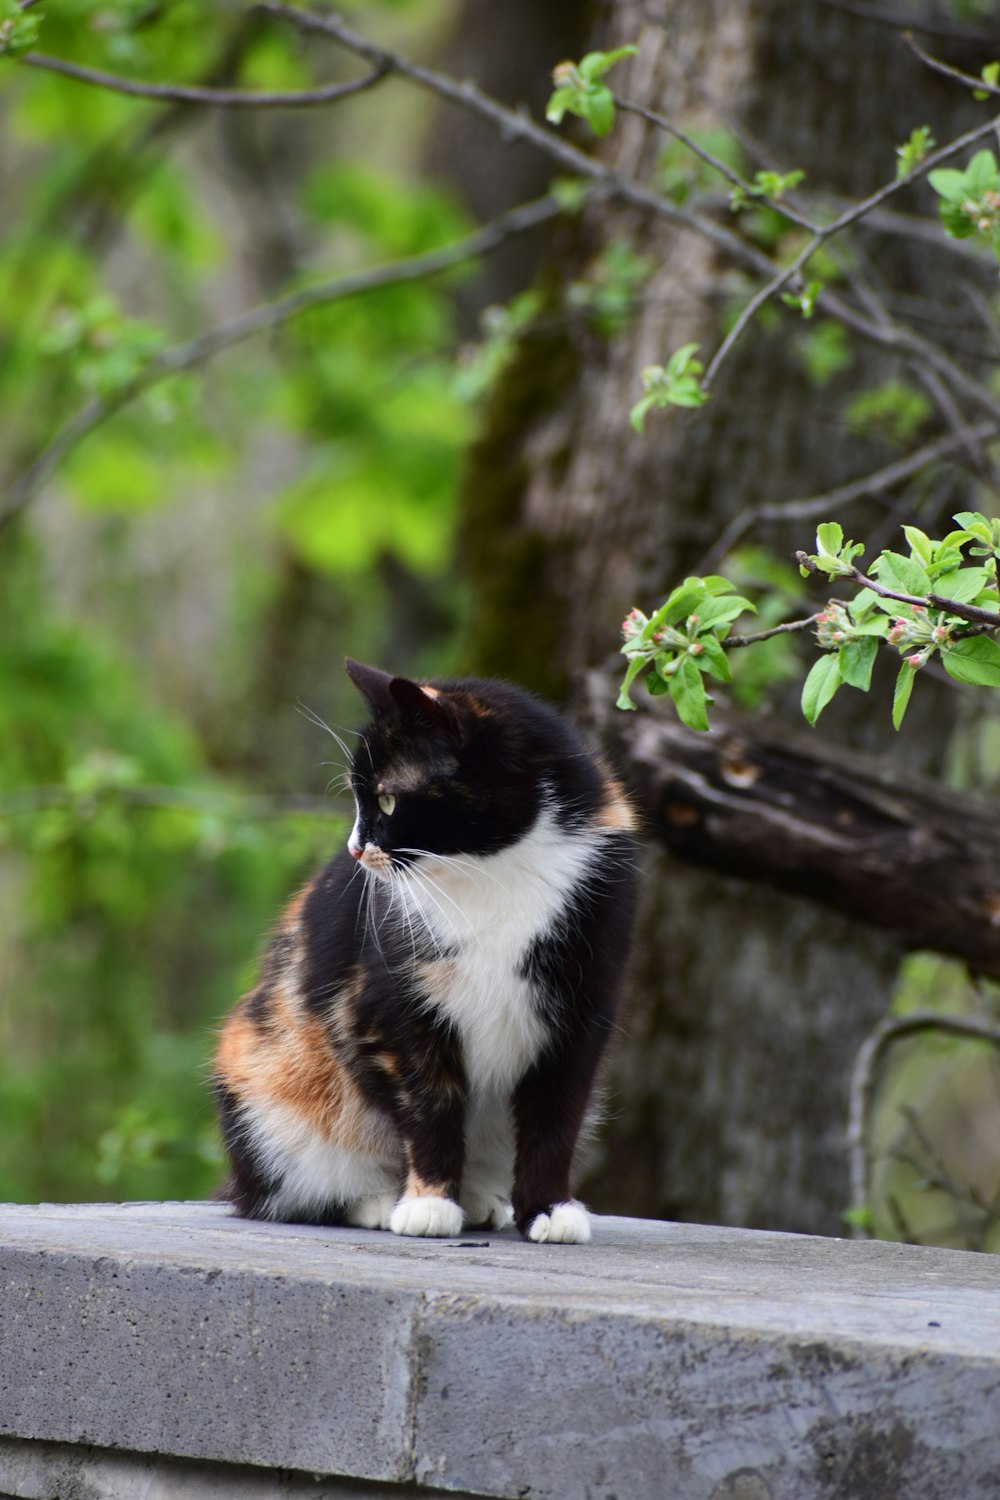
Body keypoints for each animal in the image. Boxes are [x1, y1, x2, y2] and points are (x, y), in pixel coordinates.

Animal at [212, 657, 638, 1242]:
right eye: (356, 797)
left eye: (388, 798)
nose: (355, 849)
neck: (493, 869)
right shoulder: (391, 1006)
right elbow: (427, 1102)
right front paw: (428, 1203)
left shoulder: (584, 1006)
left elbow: (557, 1115)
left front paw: (550, 1209)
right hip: (263, 1079)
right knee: (281, 1192)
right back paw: (378, 1200)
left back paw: (479, 1198)